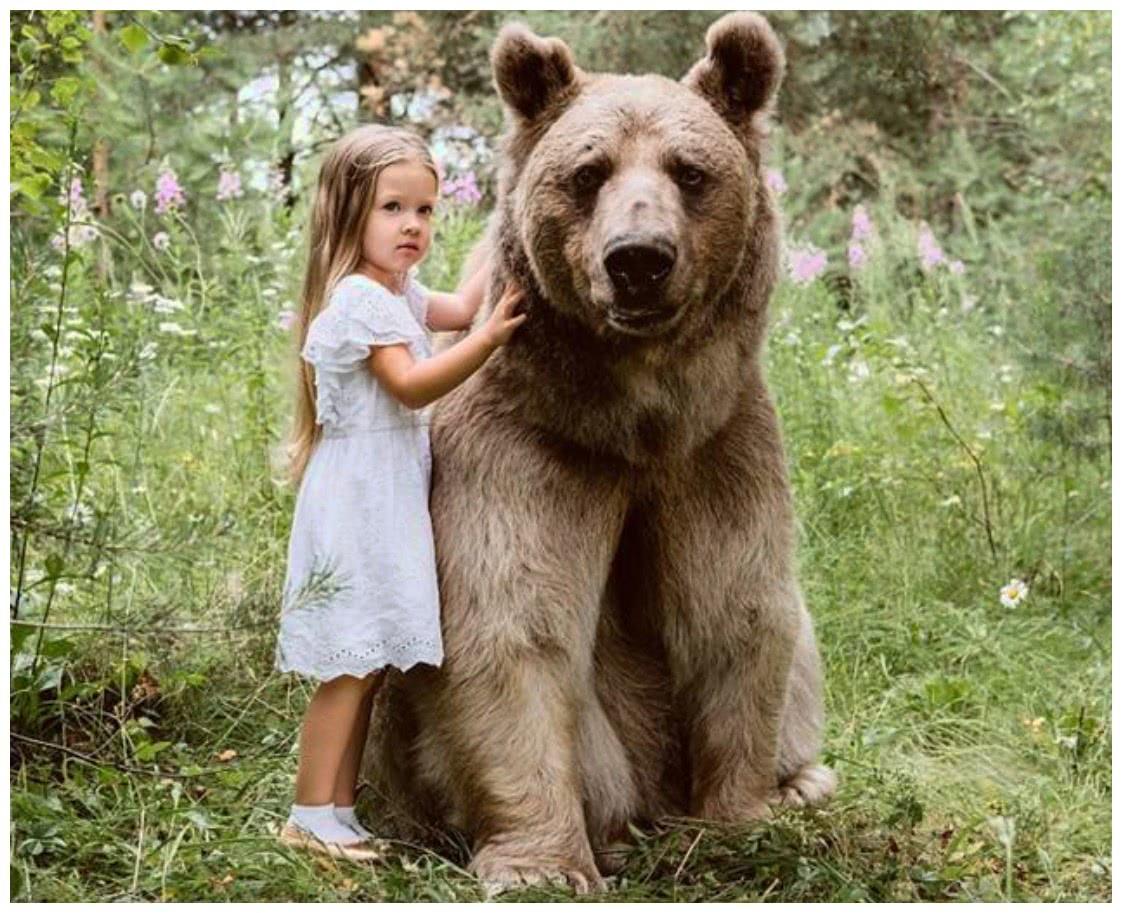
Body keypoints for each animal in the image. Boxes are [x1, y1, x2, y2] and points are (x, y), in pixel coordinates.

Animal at [364, 12, 836, 893]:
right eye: (589, 172)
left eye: (690, 170)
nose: (639, 257)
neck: (635, 418)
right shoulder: (527, 449)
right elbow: (511, 624)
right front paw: (543, 865)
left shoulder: (719, 449)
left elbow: (738, 611)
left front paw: (743, 817)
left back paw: (803, 781)